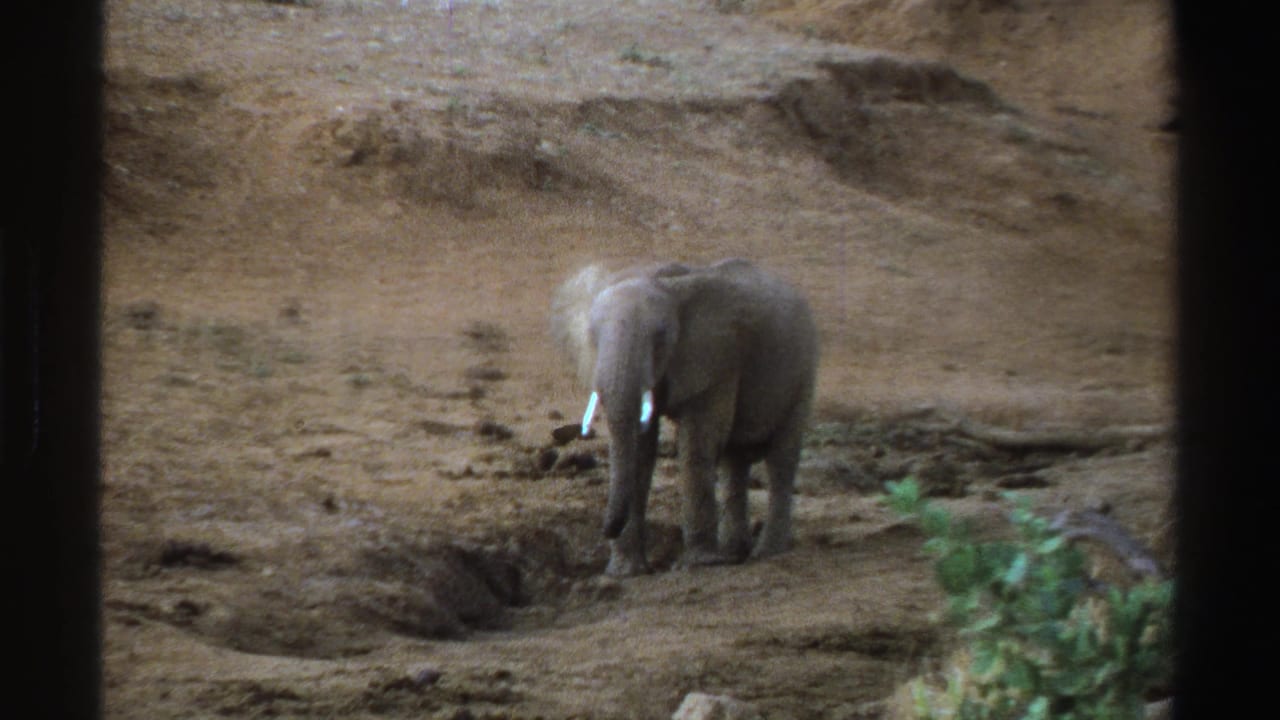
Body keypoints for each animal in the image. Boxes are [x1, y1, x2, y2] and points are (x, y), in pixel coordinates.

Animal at [550, 258, 819, 576]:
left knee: (781, 459)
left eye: (661, 338)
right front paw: (627, 572)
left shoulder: (717, 361)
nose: (605, 530)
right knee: (735, 460)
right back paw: (734, 552)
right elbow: (641, 450)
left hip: (803, 372)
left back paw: (766, 552)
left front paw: (701, 563)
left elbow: (697, 443)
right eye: (592, 337)